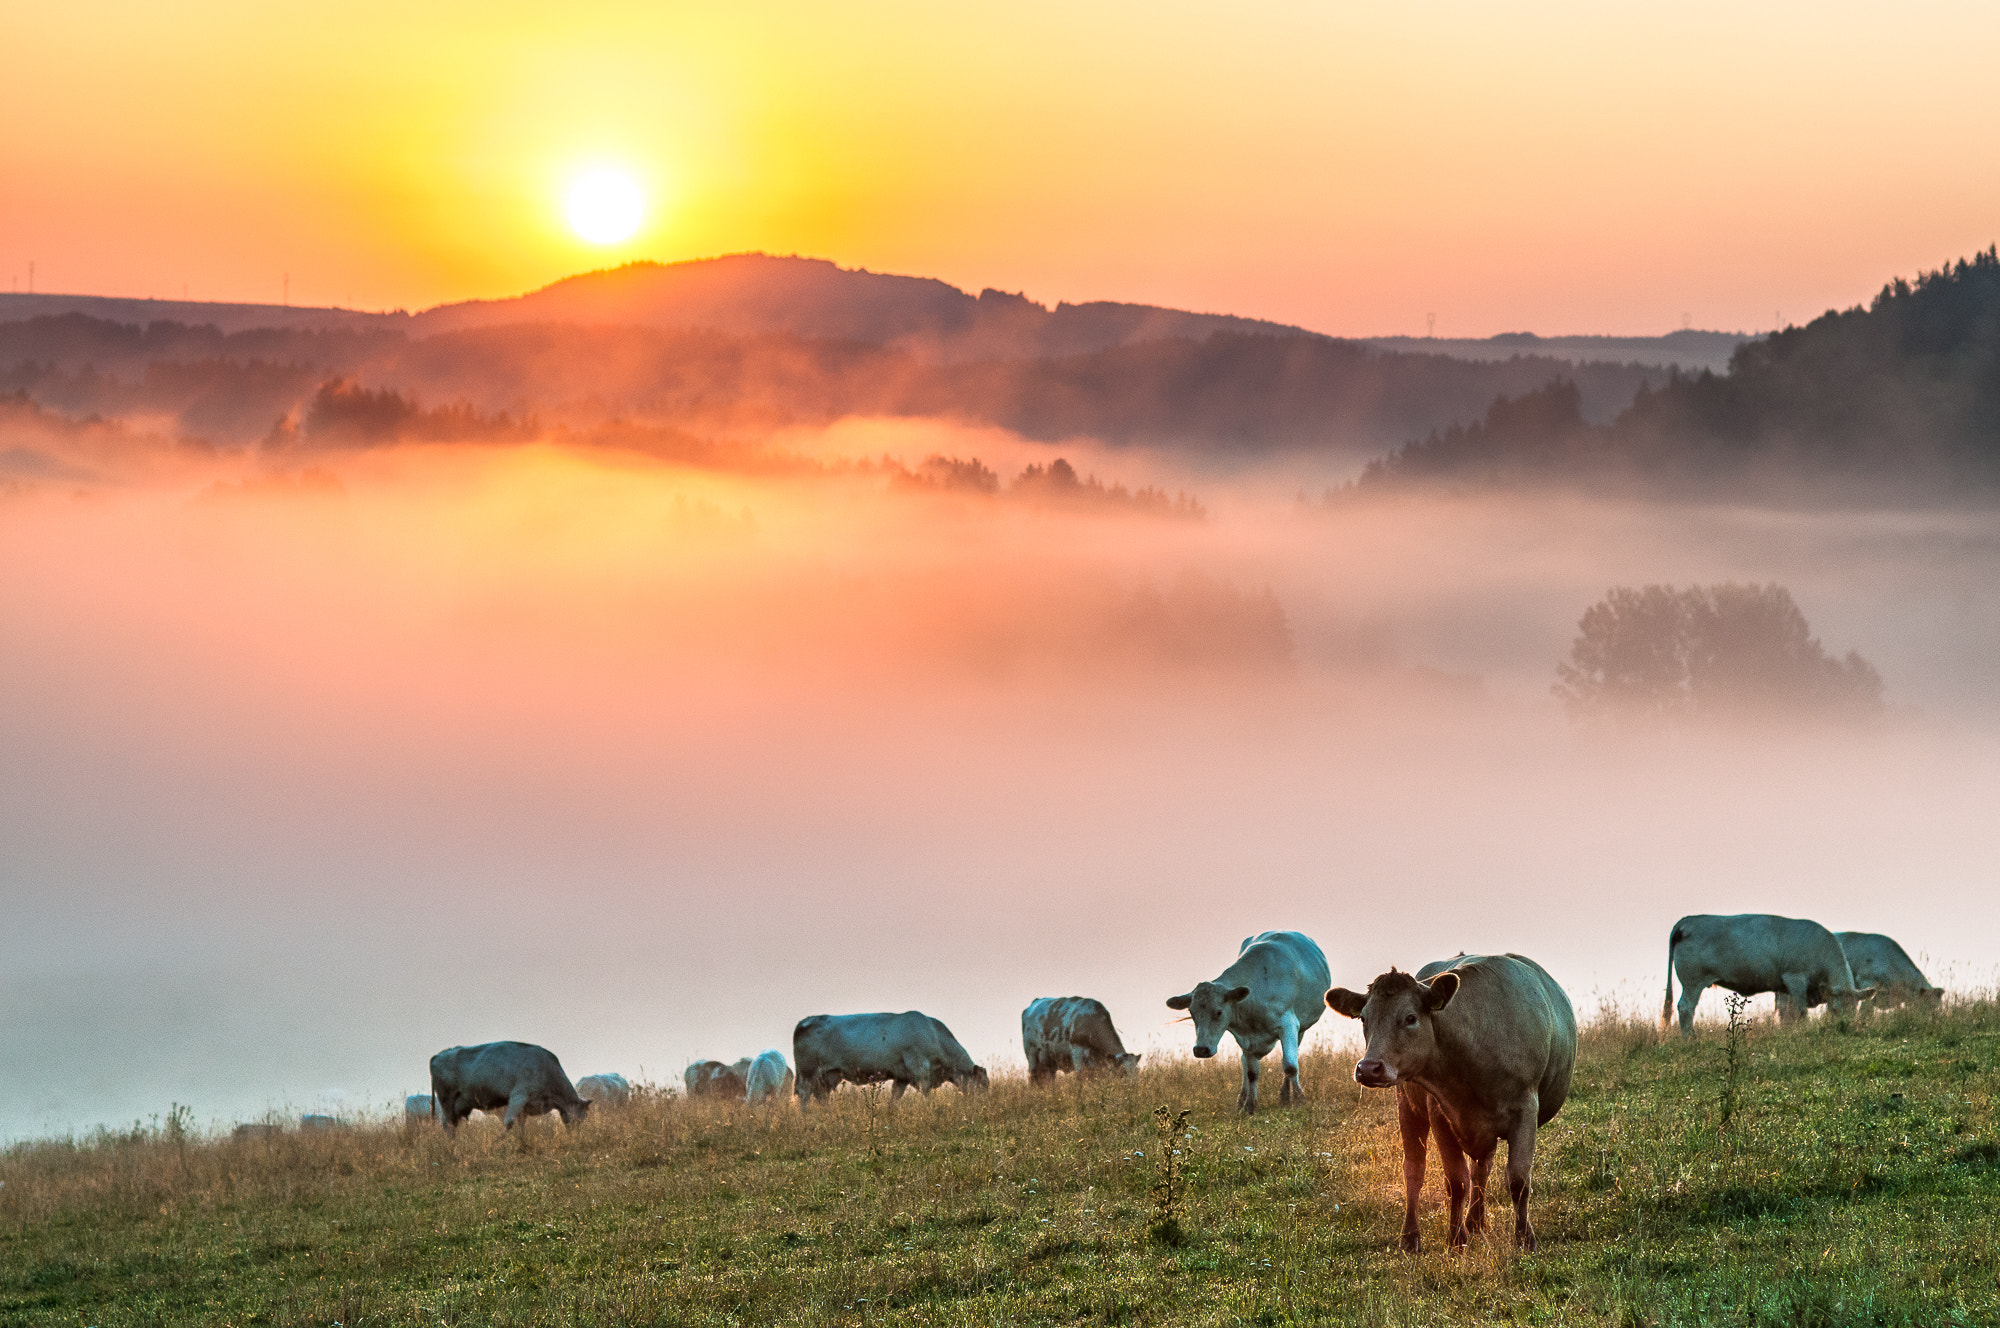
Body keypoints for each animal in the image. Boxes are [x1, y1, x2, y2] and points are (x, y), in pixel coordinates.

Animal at [432, 1040, 592, 1136]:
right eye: (582, 1118)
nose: (576, 1135)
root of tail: (438, 1055)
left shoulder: (524, 1108)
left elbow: (521, 1126)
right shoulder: (519, 1096)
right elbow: (509, 1123)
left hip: (459, 1105)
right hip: (447, 1100)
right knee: (448, 1126)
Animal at [792, 1012, 988, 1104]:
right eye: (983, 1085)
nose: (984, 1104)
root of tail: (806, 1020)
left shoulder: (902, 1077)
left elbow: (894, 1099)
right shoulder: (919, 1067)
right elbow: (926, 1092)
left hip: (827, 1075)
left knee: (820, 1096)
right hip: (808, 1072)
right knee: (804, 1094)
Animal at [1168, 928, 1336, 1112]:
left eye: (1219, 1012)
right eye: (1192, 1013)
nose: (1201, 1050)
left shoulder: (1289, 1025)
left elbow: (1290, 1067)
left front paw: (1300, 1100)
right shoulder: (1245, 1036)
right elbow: (1251, 1072)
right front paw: (1249, 1106)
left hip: (1301, 1029)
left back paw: (1285, 1096)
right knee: (1243, 1063)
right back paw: (1241, 1099)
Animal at [1328, 948, 1576, 1248]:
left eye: (1411, 1018)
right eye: (1364, 1019)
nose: (1368, 1068)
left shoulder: (1526, 1110)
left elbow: (1518, 1179)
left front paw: (1524, 1239)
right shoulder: (1440, 1114)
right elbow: (1457, 1181)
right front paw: (1457, 1240)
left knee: (1482, 1168)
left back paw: (1476, 1221)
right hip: (1409, 1107)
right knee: (1415, 1170)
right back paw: (1412, 1237)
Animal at [1664, 912, 1864, 1040]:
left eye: (1854, 1010)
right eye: (1835, 1009)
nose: (1843, 1028)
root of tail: (1687, 921)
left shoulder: (1785, 988)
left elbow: (1786, 1013)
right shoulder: (1795, 978)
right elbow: (1800, 1011)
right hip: (1692, 981)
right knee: (1686, 1007)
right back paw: (1690, 1039)